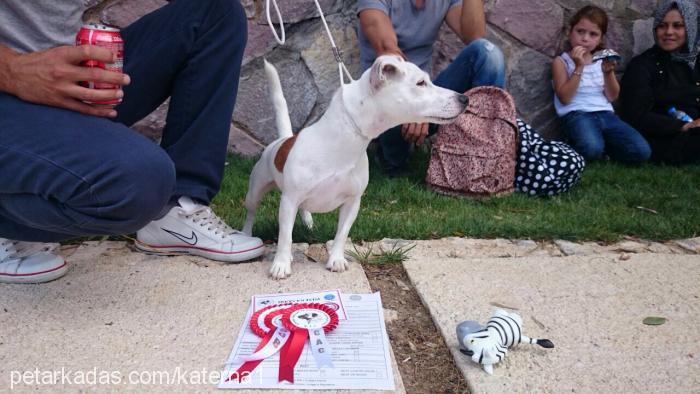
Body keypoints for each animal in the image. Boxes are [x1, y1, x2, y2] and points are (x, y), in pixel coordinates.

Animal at [243, 53, 468, 278]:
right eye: (421, 83)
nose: (464, 98)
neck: (342, 142)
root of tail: (284, 141)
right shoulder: (289, 201)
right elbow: (285, 236)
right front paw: (281, 264)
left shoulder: (352, 202)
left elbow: (342, 234)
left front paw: (336, 259)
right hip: (255, 191)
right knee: (251, 214)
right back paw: (247, 236)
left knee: (303, 210)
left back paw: (308, 224)